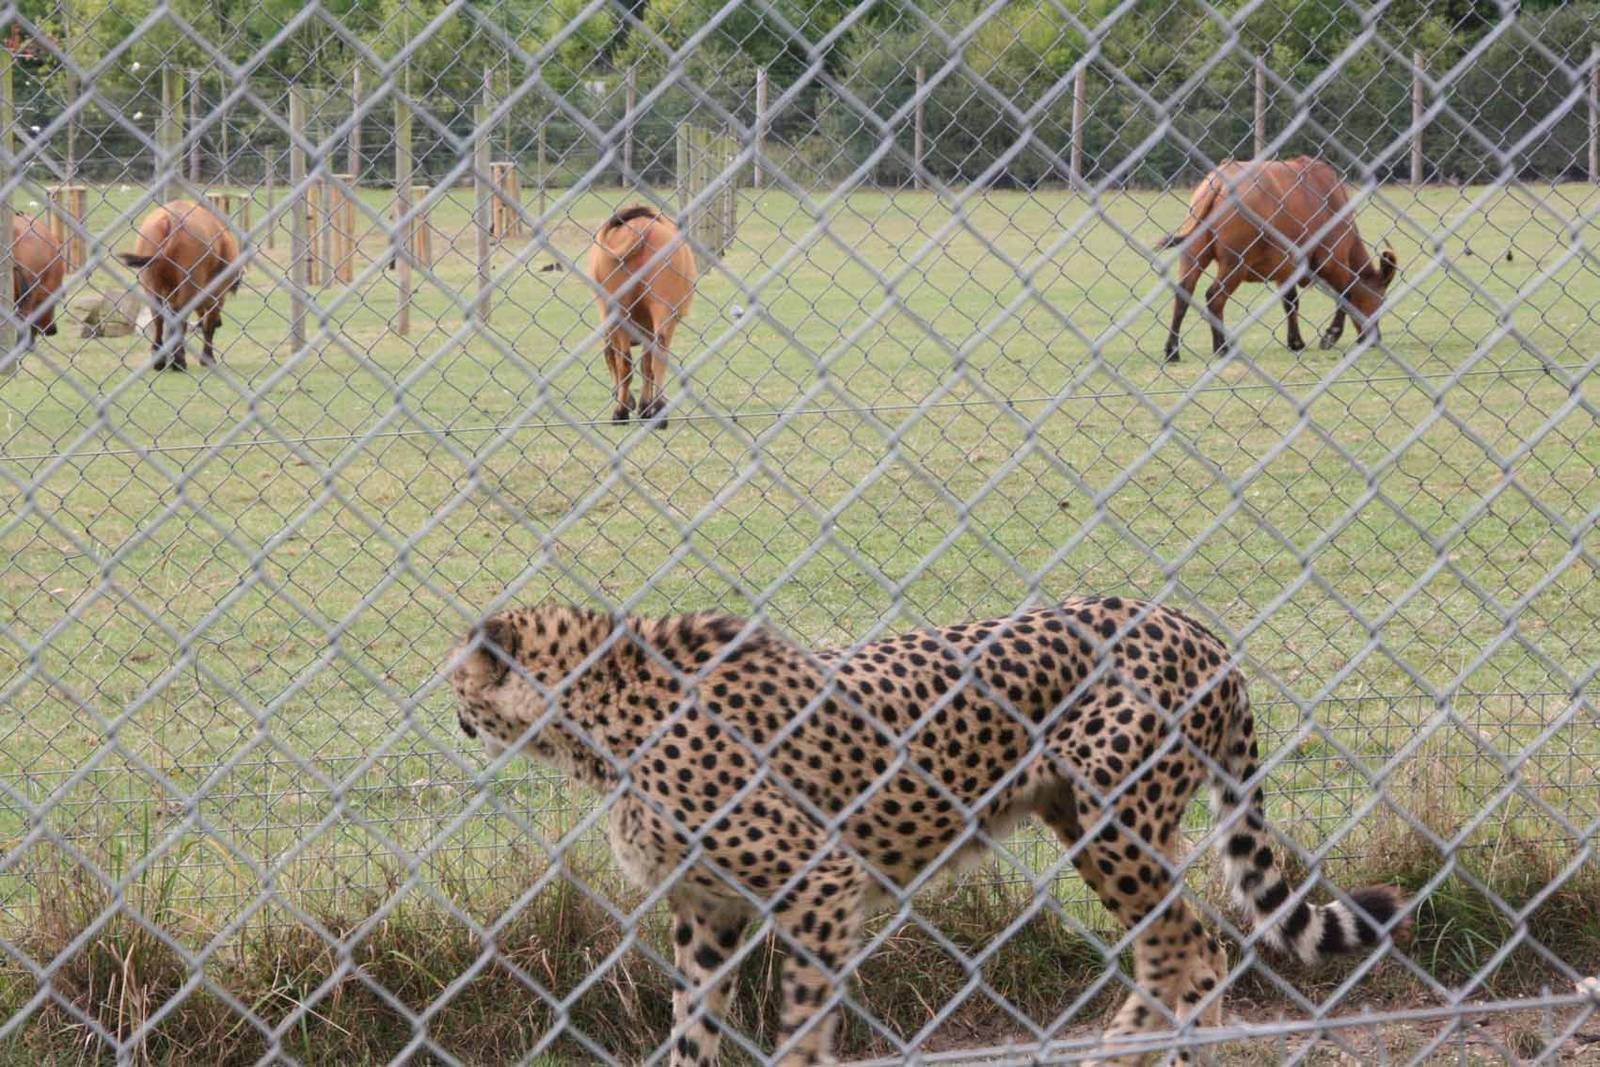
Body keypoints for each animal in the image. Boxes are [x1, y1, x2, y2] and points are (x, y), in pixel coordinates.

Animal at [448, 596, 1405, 1066]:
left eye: (462, 684)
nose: (453, 716)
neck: (595, 713)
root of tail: (1194, 627)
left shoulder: (822, 881)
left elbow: (803, 1022)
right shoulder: (708, 909)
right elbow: (691, 1027)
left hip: (1112, 821)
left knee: (1193, 944)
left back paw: (1126, 1054)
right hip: (1087, 818)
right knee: (1178, 946)